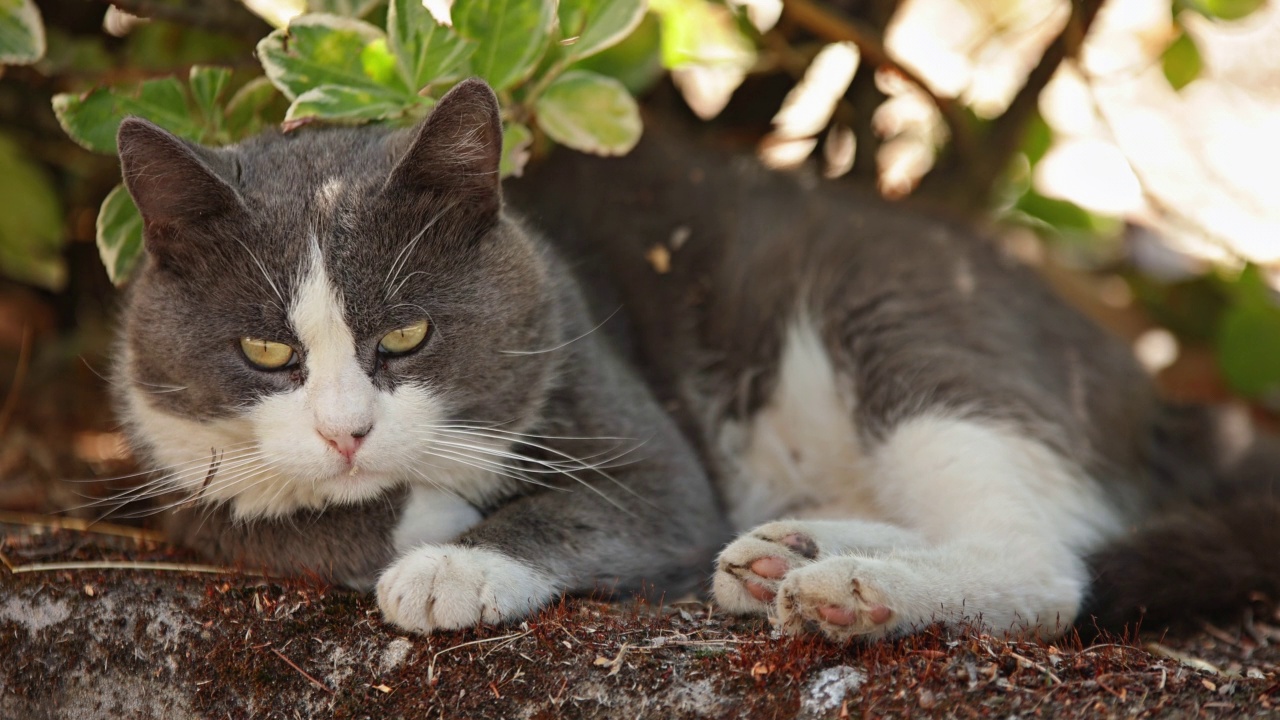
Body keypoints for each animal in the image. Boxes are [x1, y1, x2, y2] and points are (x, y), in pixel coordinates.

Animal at [112, 75, 732, 630]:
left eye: (406, 335)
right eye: (263, 349)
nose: (345, 434)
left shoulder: (642, 446)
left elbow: (615, 507)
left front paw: (450, 571)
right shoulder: (174, 460)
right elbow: (235, 522)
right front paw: (438, 515)